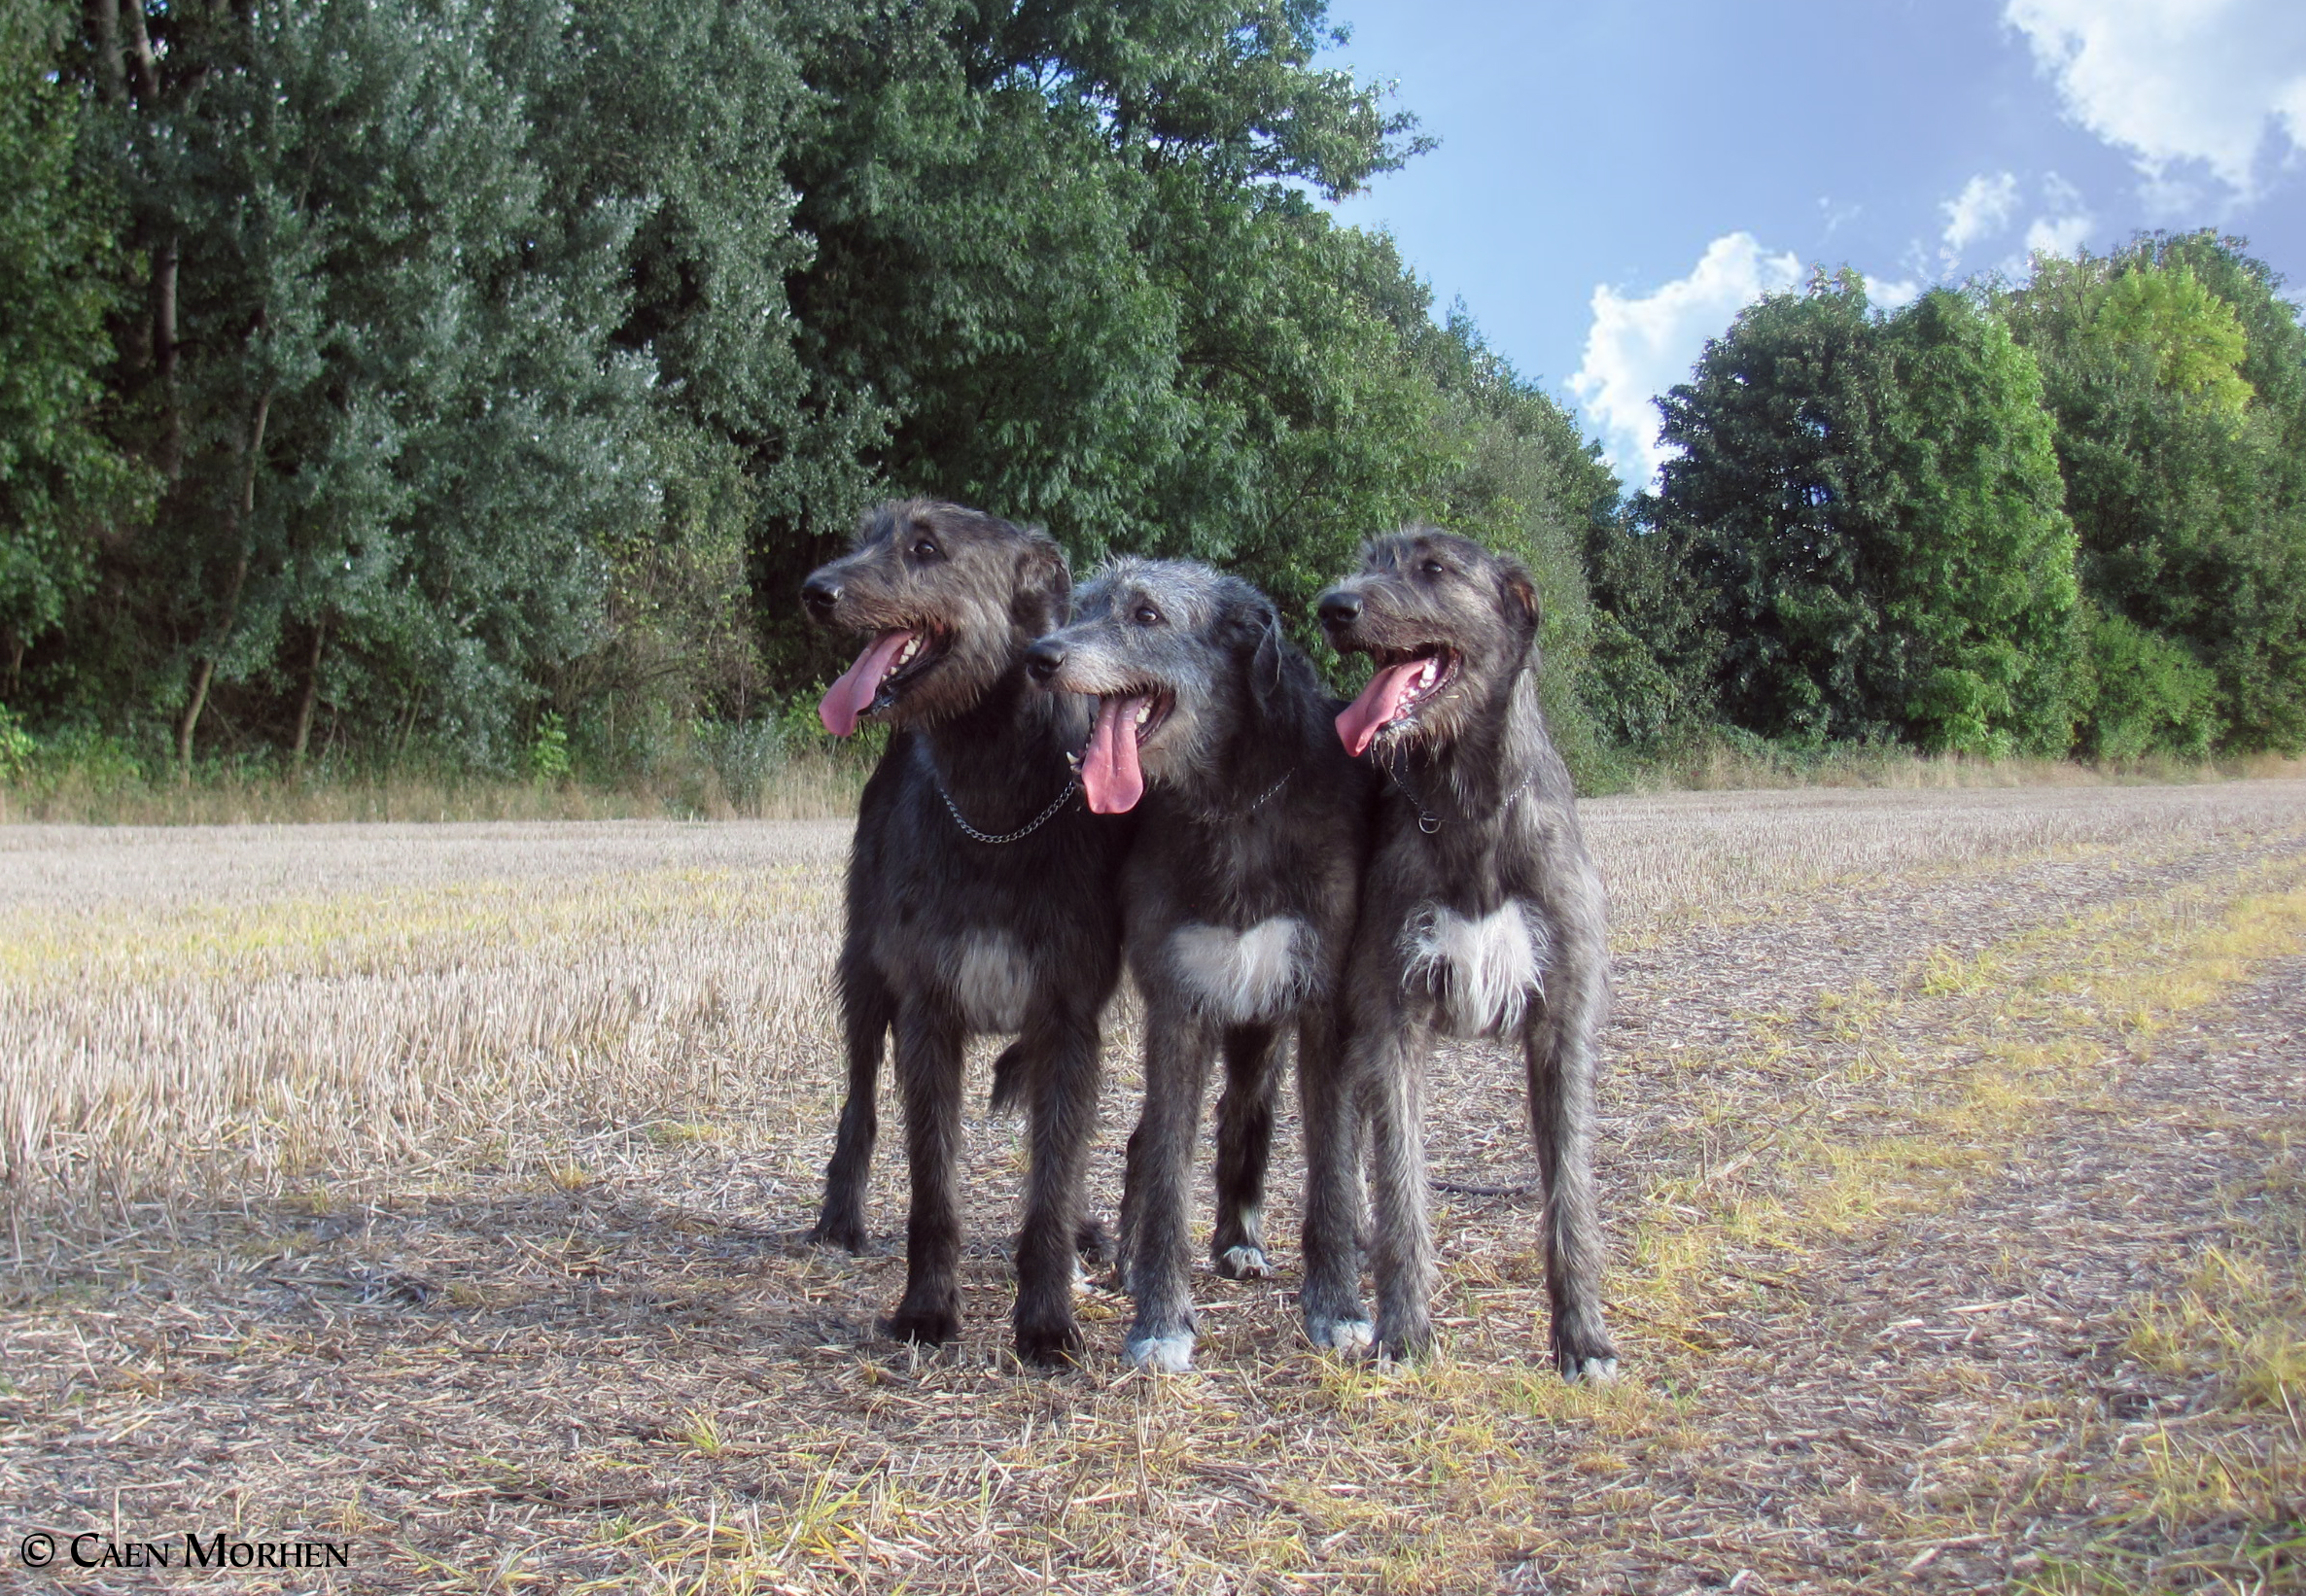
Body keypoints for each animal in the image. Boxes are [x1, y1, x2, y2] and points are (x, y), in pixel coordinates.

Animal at [797, 498, 1130, 1356]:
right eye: (864, 537)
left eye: (925, 548)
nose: (815, 590)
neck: (997, 806)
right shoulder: (928, 1015)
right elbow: (933, 1187)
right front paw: (926, 1310)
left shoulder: (1068, 1021)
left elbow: (1055, 1172)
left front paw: (1046, 1322)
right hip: (863, 972)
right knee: (858, 1103)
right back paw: (839, 1216)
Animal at [1024, 560, 1365, 1374]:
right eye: (1081, 606)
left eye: (1146, 614)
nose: (1040, 657)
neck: (1232, 801)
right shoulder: (1176, 1007)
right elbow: (1168, 1172)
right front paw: (1161, 1318)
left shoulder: (1321, 1005)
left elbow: (1333, 1169)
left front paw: (1337, 1305)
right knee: (1149, 1143)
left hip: (1258, 1029)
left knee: (1247, 1115)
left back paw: (1240, 1240)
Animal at [1318, 530, 1623, 1374]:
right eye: (1369, 558)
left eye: (1433, 568)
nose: (1333, 606)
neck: (1471, 807)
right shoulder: (1392, 1017)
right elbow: (1402, 1183)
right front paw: (1404, 1329)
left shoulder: (1562, 1023)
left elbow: (1571, 1194)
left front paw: (1583, 1337)